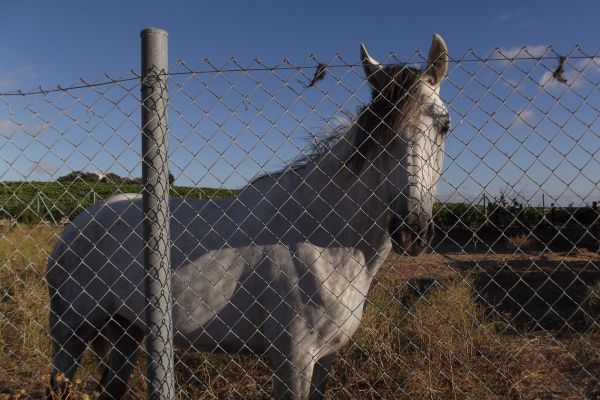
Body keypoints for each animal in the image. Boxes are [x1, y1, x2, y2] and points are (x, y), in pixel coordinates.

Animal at [48, 35, 450, 400]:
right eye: (380, 130)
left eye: (444, 125)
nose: (412, 230)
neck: (324, 240)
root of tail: (78, 226)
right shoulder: (292, 360)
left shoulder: (325, 358)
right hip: (70, 334)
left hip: (126, 331)